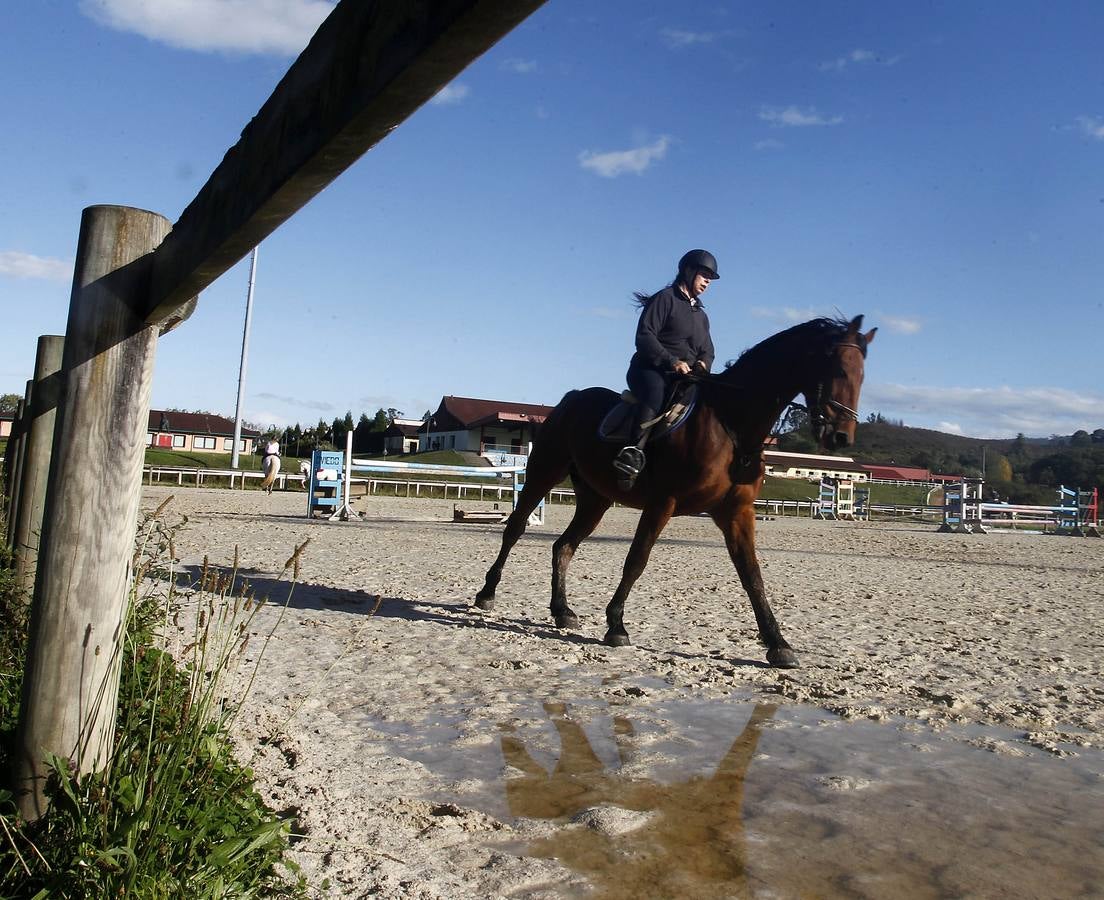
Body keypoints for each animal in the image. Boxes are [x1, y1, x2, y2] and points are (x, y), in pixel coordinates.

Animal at [476, 313, 878, 666]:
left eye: (863, 376)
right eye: (839, 370)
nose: (841, 437)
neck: (731, 425)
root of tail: (571, 398)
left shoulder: (736, 512)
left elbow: (752, 574)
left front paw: (778, 644)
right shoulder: (663, 503)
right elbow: (636, 560)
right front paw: (616, 625)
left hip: (595, 499)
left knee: (564, 546)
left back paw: (562, 611)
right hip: (544, 473)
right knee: (515, 529)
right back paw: (487, 594)